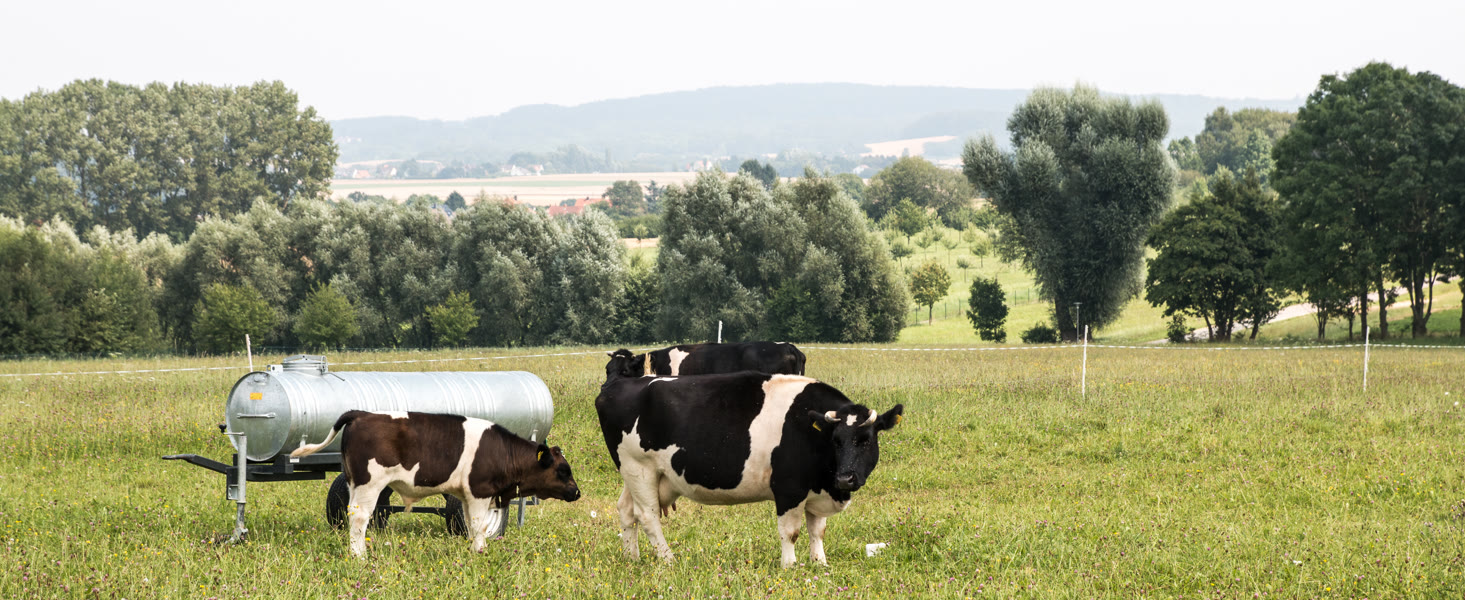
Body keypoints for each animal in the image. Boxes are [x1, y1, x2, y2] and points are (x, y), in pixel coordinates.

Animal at [290, 410, 581, 557]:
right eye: (563, 470)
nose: (577, 492)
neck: (501, 450)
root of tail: (361, 414)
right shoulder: (480, 492)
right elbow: (479, 525)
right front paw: (480, 551)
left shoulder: (467, 495)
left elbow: (470, 524)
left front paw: (475, 550)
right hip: (368, 484)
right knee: (360, 518)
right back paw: (359, 555)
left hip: (352, 483)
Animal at [594, 371, 903, 567]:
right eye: (836, 441)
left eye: (866, 440)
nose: (846, 478)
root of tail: (617, 385)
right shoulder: (789, 488)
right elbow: (791, 531)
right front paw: (790, 566)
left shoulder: (816, 490)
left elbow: (818, 531)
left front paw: (820, 564)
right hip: (638, 467)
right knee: (647, 516)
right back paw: (669, 559)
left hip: (639, 474)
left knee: (626, 510)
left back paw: (631, 558)